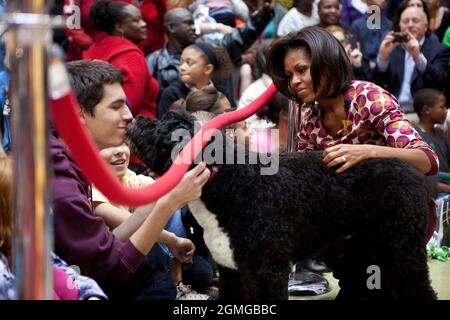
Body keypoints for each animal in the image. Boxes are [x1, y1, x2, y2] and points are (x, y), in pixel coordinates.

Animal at [126, 110, 436, 300]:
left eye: (162, 126)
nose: (135, 118)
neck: (229, 182)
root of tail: (412, 171)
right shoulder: (231, 271)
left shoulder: (267, 271)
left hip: (401, 250)